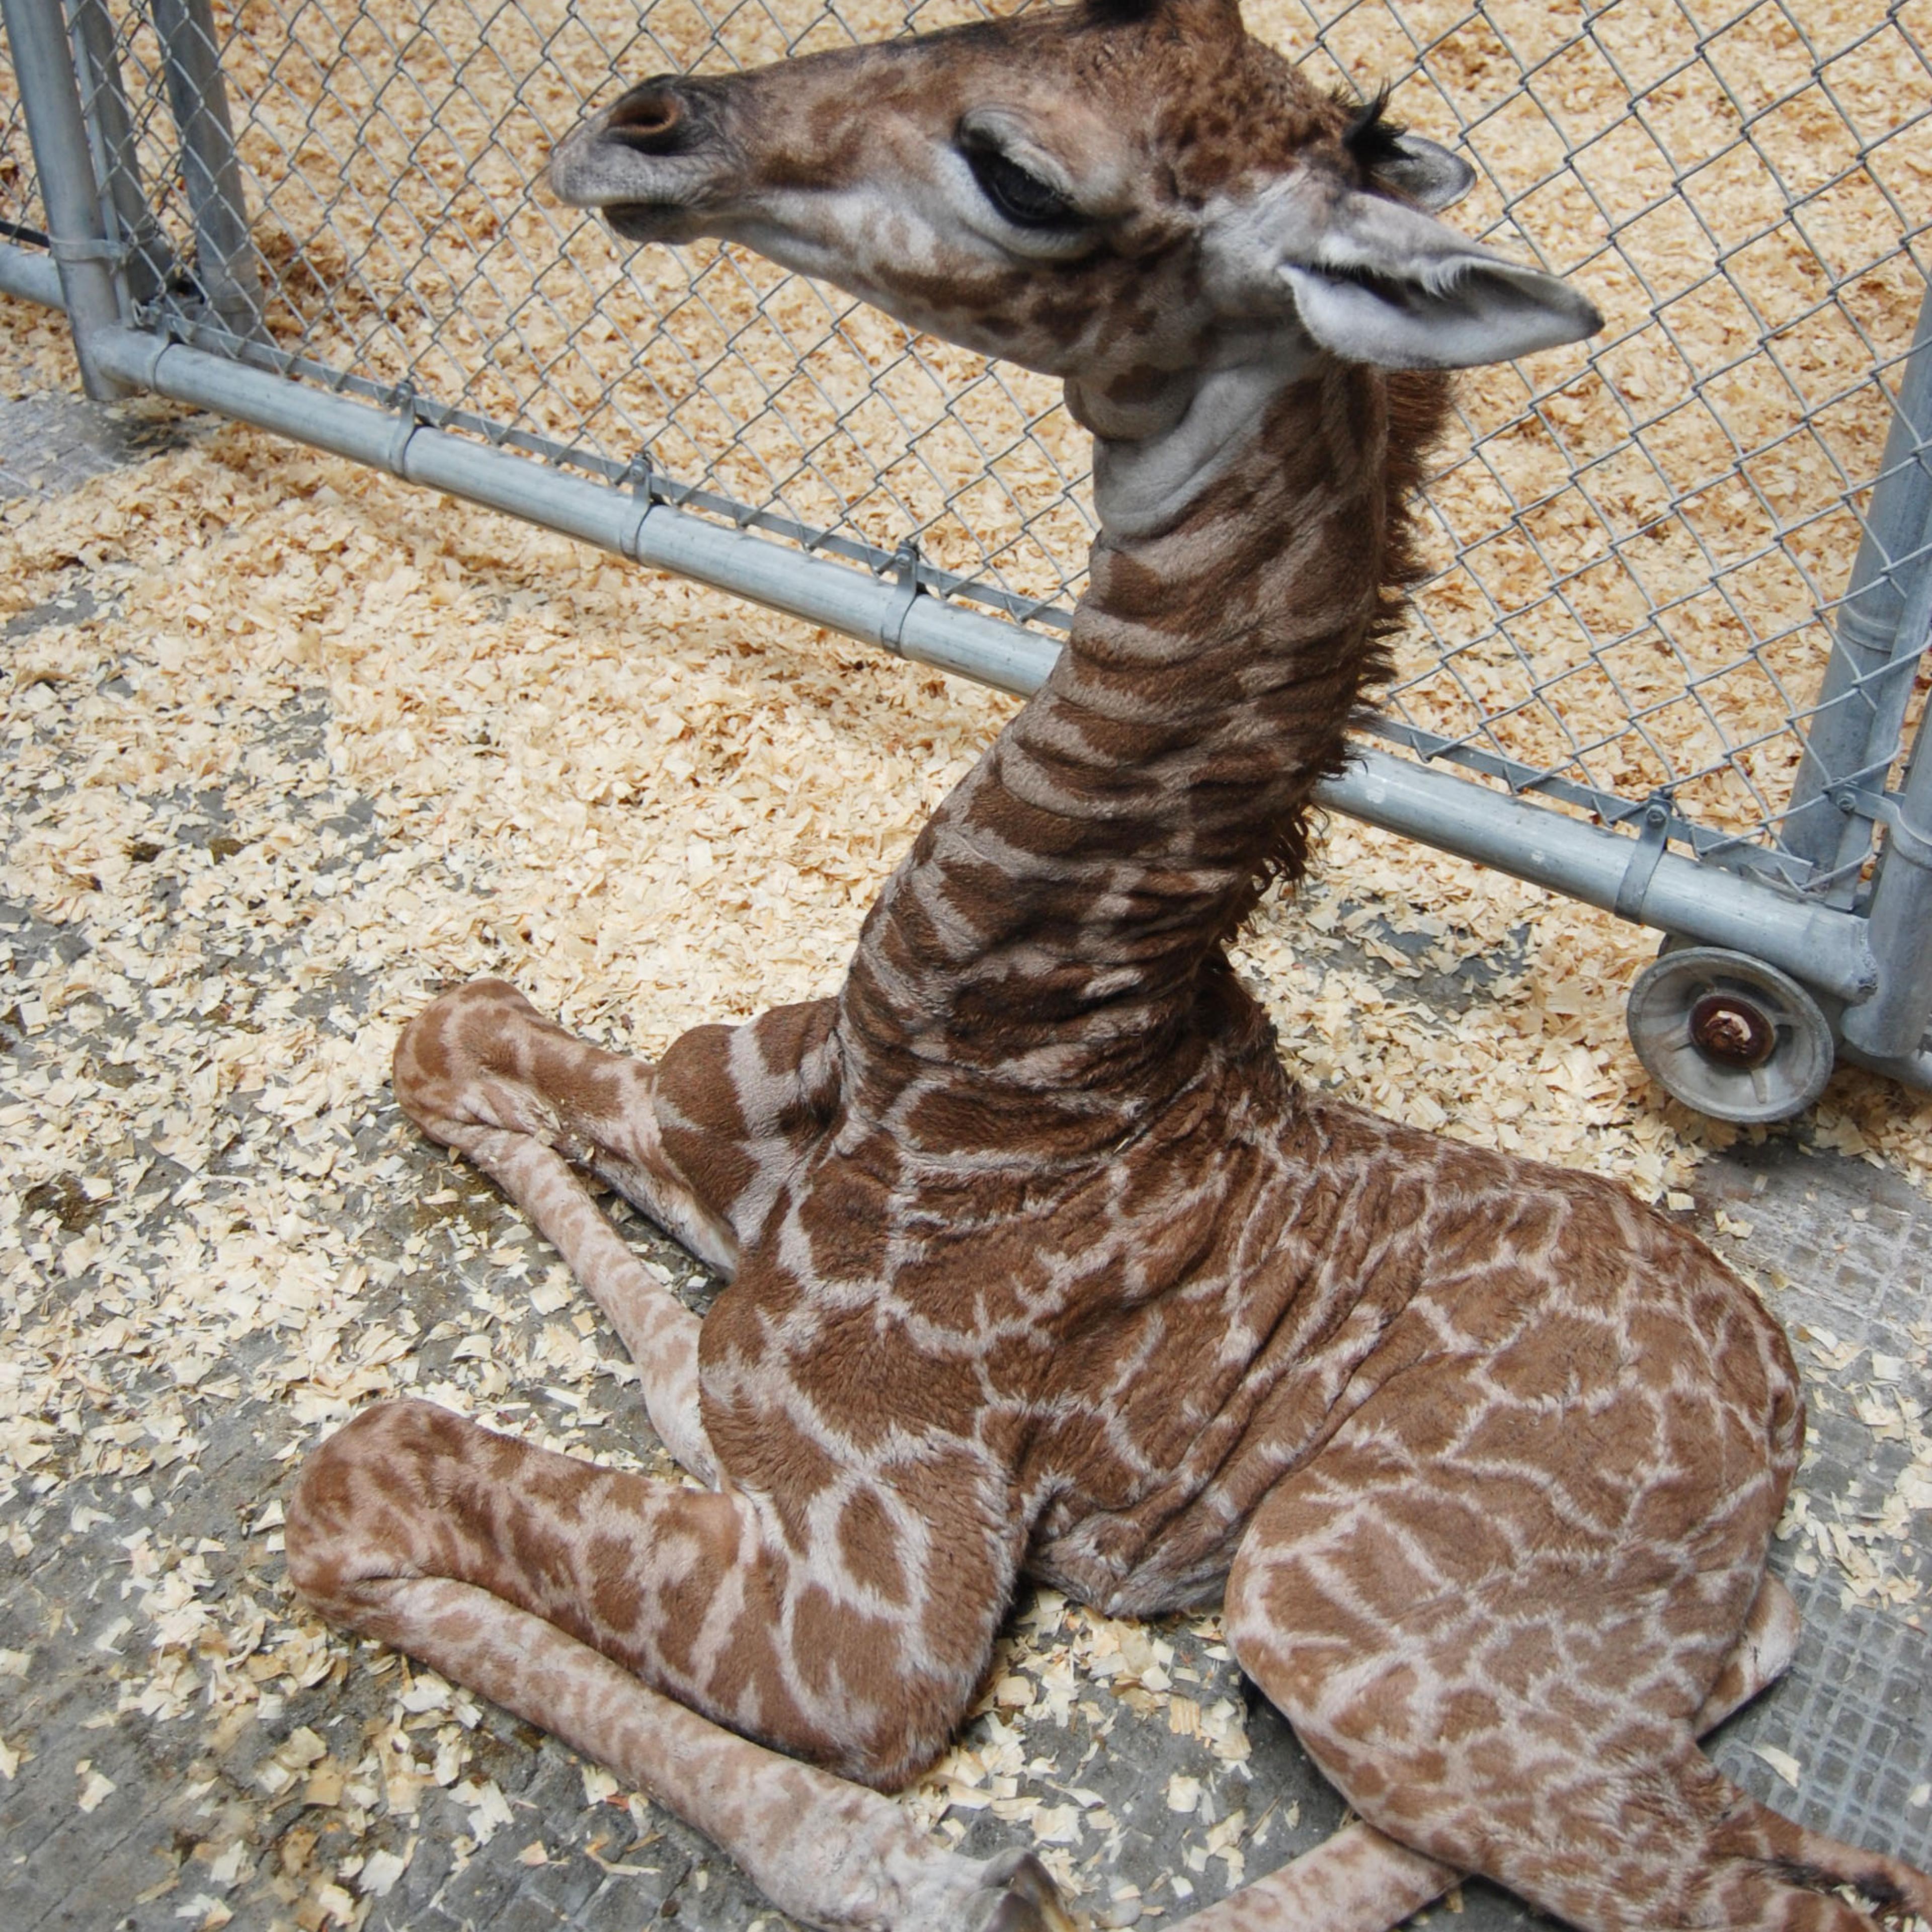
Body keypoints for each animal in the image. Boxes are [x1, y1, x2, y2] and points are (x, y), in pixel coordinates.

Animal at [285, 3, 1932, 1929]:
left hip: (1335, 1595)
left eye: (1021, 173)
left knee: (1739, 1875)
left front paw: (925, 1868)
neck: (992, 1059)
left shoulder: (876, 1612)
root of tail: (1780, 1404)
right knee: (1723, 1697)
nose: (640, 120)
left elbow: (358, 1469)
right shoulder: (691, 1126)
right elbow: (452, 1035)